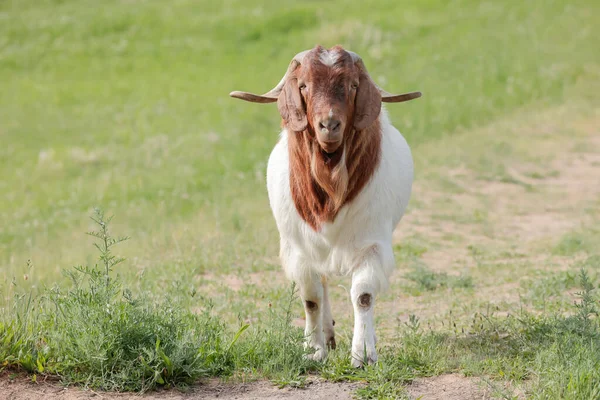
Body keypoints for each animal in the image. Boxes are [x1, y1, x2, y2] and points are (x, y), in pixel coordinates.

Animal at [230, 45, 422, 368]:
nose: (329, 125)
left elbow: (363, 295)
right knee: (322, 283)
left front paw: (363, 354)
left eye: (353, 85)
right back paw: (328, 336)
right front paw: (313, 350)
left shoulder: (372, 242)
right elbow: (311, 298)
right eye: (303, 85)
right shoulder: (299, 246)